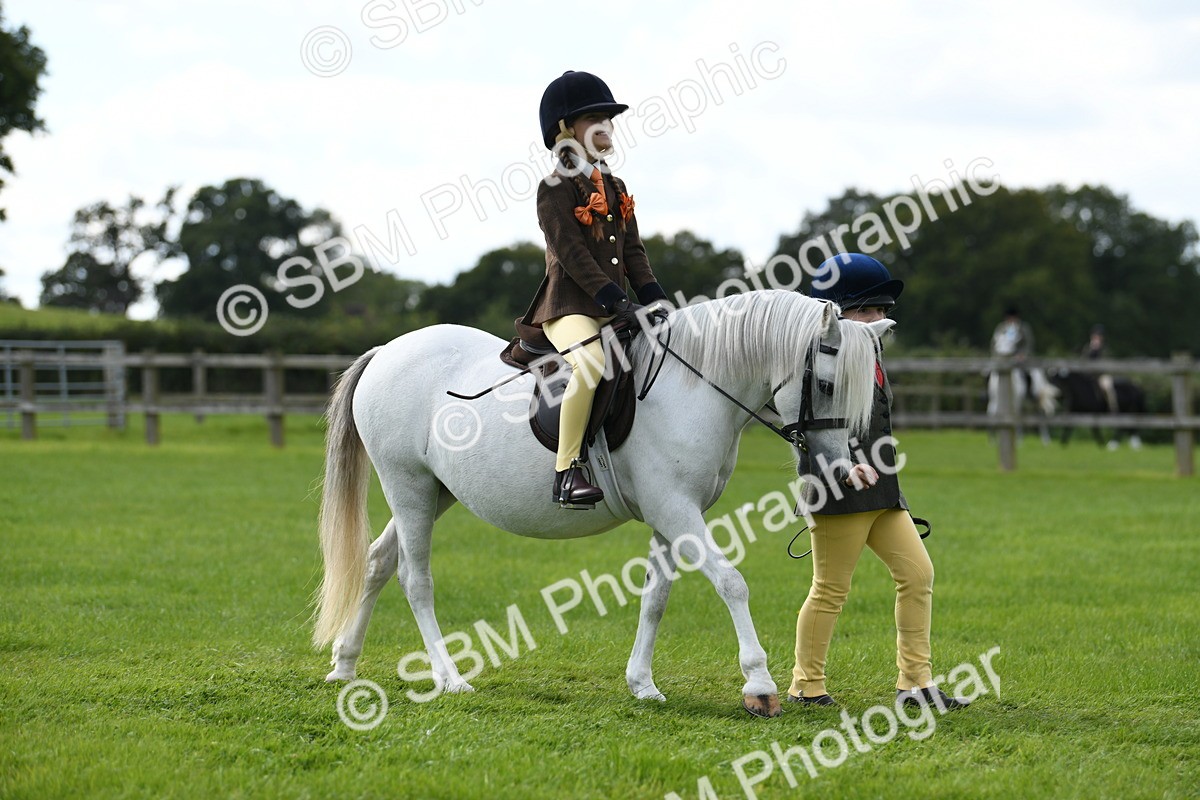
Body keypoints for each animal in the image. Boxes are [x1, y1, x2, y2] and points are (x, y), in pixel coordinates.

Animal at [312, 290, 891, 718]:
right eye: (826, 384)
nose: (840, 470)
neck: (695, 385)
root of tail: (387, 351)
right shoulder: (678, 511)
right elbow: (731, 582)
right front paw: (760, 685)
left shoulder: (671, 514)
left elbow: (656, 597)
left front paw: (642, 684)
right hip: (406, 484)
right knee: (415, 579)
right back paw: (449, 677)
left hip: (436, 493)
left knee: (378, 561)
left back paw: (345, 664)